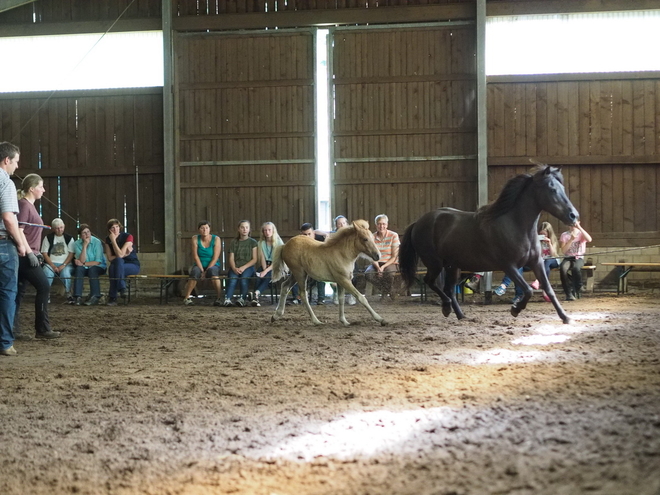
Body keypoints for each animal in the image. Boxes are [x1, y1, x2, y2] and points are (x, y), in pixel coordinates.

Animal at [398, 167, 576, 326]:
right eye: (552, 189)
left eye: (562, 188)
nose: (573, 215)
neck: (515, 225)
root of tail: (418, 222)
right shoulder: (509, 266)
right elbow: (528, 290)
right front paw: (515, 309)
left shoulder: (536, 262)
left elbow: (548, 289)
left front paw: (565, 317)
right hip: (435, 263)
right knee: (431, 282)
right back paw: (447, 308)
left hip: (452, 266)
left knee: (449, 289)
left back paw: (461, 316)